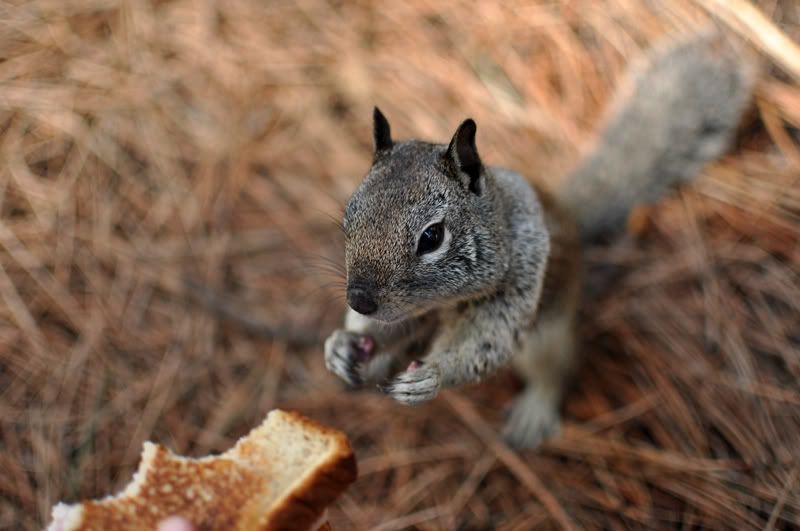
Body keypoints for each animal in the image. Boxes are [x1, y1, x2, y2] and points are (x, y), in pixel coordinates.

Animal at [324, 29, 756, 450]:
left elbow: (488, 343)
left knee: (555, 370)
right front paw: (342, 344)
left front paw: (434, 374)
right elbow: (385, 331)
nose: (359, 300)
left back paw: (534, 413)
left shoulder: (519, 282)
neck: (442, 304)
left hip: (549, 335)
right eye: (349, 215)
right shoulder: (409, 316)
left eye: (432, 237)